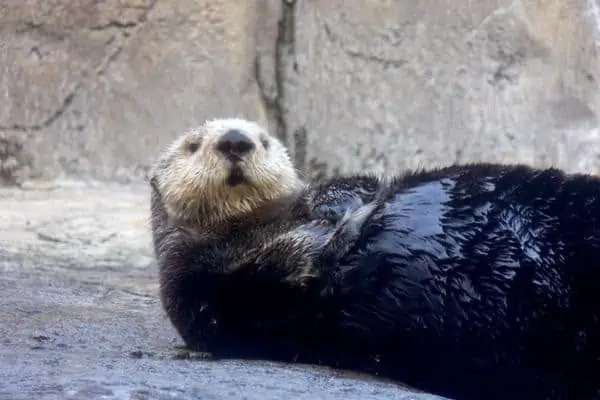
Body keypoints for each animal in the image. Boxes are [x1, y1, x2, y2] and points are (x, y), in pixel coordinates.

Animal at [149, 118, 600, 400]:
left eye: (263, 139)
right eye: (192, 145)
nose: (235, 141)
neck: (257, 228)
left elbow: (353, 186)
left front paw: (333, 207)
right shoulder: (200, 294)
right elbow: (257, 288)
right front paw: (316, 241)